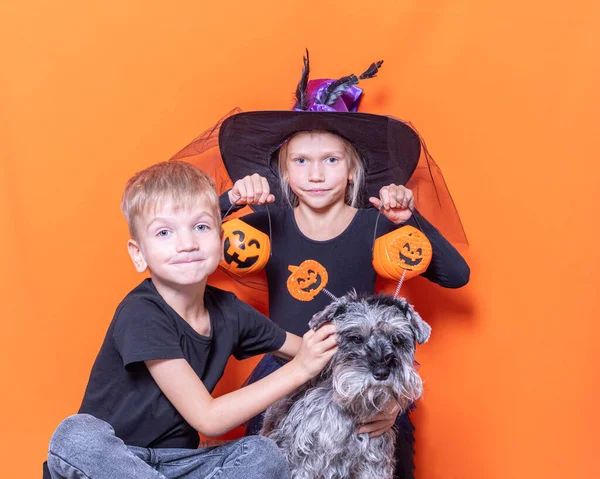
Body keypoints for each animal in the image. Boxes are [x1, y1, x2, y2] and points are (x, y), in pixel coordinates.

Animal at [260, 292, 428, 479]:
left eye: (397, 340)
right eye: (356, 339)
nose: (382, 372)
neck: (353, 411)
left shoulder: (374, 463)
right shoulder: (305, 462)